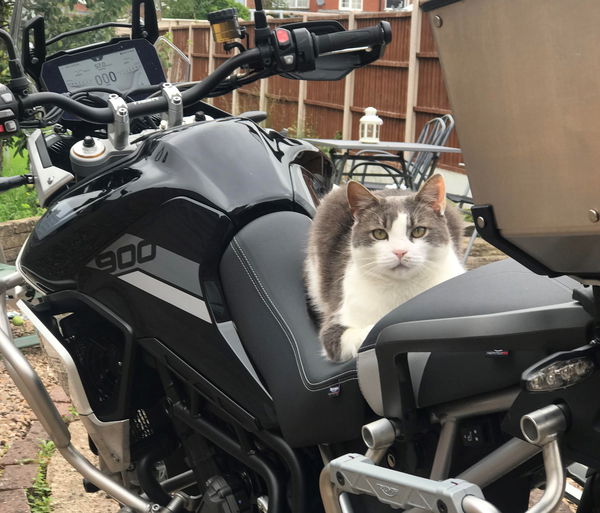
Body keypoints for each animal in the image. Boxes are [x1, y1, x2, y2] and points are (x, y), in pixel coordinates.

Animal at [304, 174, 464, 362]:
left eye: (418, 231)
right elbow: (367, 333)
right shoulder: (336, 324)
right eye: (379, 233)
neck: (402, 289)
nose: (400, 251)